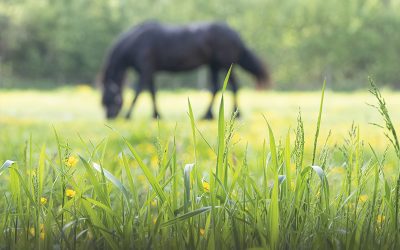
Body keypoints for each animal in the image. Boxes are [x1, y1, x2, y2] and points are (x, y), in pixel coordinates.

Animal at [99, 21, 272, 119]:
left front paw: (128, 115)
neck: (137, 42)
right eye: (102, 102)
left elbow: (139, 92)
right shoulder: (151, 71)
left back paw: (235, 113)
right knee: (216, 88)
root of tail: (235, 33)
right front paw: (156, 115)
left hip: (225, 65)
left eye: (110, 99)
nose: (109, 117)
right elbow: (152, 93)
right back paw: (208, 115)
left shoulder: (145, 69)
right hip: (214, 65)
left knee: (234, 86)